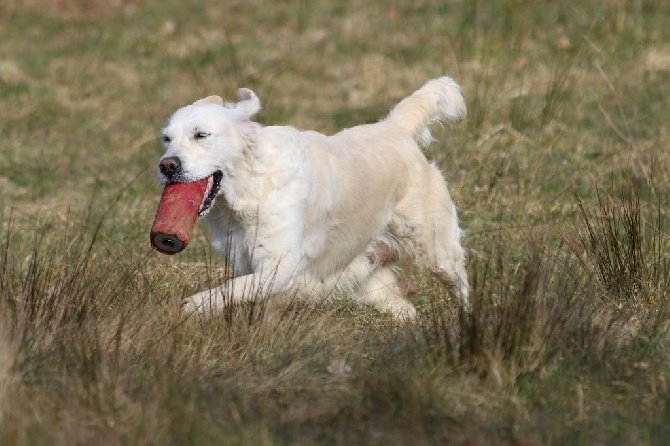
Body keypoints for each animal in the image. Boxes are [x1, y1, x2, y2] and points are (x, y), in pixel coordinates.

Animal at [159, 77, 470, 320]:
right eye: (166, 139)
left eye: (201, 135)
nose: (167, 166)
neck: (250, 191)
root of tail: (395, 127)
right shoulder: (246, 258)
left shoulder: (282, 266)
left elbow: (234, 287)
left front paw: (195, 304)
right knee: (399, 303)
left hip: (436, 248)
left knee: (461, 286)